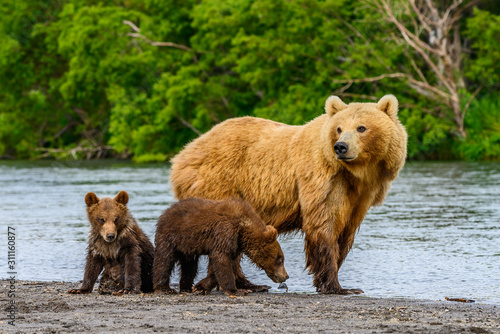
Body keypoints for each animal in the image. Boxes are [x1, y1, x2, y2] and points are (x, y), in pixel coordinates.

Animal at [171, 95, 406, 294]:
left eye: (361, 128)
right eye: (339, 129)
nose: (341, 147)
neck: (355, 175)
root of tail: (184, 153)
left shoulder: (360, 197)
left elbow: (344, 232)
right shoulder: (321, 180)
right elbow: (324, 226)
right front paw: (337, 286)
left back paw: (247, 284)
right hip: (219, 184)